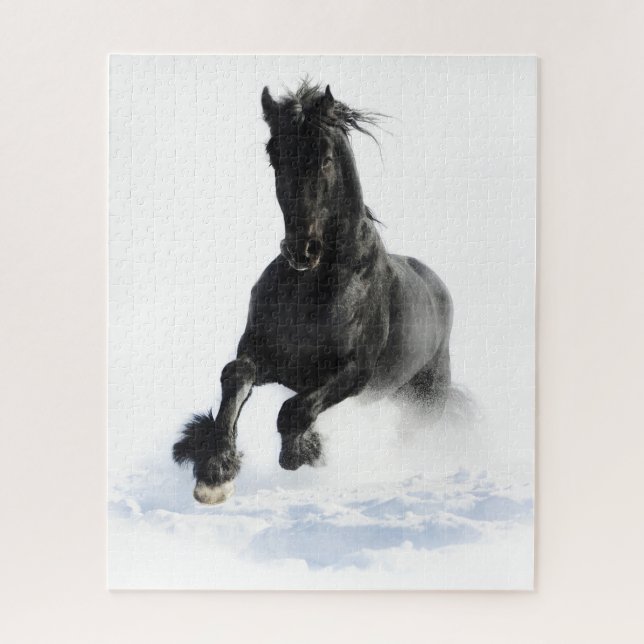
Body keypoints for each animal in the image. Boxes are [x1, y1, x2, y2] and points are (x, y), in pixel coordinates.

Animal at [173, 80, 453, 504]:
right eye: (274, 153)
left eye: (325, 156)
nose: (301, 250)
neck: (314, 287)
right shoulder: (266, 356)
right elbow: (235, 375)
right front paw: (214, 471)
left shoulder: (354, 374)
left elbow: (294, 411)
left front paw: (303, 451)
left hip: (426, 398)